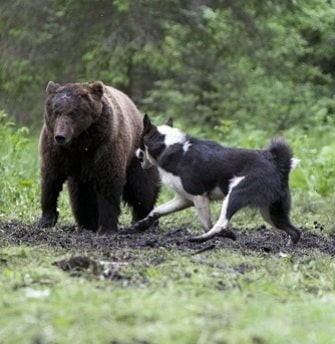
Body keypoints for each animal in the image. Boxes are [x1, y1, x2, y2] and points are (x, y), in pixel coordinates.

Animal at [38, 80, 161, 234]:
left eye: (73, 112)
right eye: (55, 112)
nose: (60, 136)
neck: (80, 143)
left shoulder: (104, 146)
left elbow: (108, 182)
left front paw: (106, 229)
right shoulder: (57, 151)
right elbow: (51, 179)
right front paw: (46, 220)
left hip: (136, 154)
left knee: (143, 188)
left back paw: (145, 220)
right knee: (80, 196)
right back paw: (86, 223)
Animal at [134, 115, 302, 245]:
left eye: (139, 140)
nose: (135, 154)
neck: (169, 146)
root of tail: (277, 162)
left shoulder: (199, 197)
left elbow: (207, 224)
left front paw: (225, 235)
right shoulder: (184, 199)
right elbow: (158, 210)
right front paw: (143, 223)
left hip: (235, 194)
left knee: (221, 223)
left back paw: (200, 239)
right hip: (271, 212)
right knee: (295, 231)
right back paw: (289, 246)